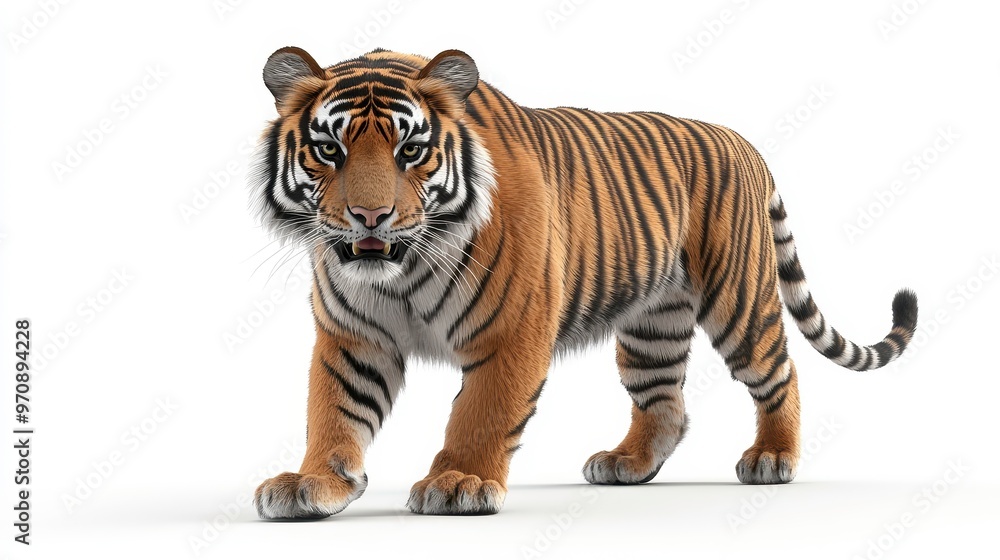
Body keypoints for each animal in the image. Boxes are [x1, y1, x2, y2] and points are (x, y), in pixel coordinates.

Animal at [249, 46, 918, 519]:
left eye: (411, 151)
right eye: (329, 150)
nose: (370, 217)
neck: (401, 272)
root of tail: (740, 141)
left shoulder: (512, 329)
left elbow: (482, 411)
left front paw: (459, 482)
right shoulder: (352, 337)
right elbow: (333, 410)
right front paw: (312, 483)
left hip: (740, 301)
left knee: (780, 372)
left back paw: (773, 457)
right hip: (651, 325)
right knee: (666, 404)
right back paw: (627, 463)